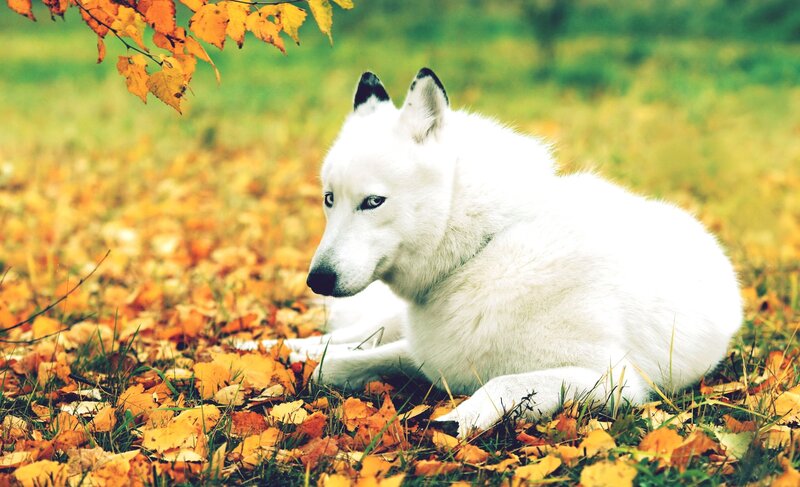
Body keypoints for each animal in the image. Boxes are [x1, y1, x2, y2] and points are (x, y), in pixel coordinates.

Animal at [265, 68, 743, 438]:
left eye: (373, 202)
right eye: (329, 199)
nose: (317, 280)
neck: (484, 249)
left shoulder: (612, 381)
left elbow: (504, 384)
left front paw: (457, 419)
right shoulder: (425, 354)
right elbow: (331, 367)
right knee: (345, 337)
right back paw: (276, 346)